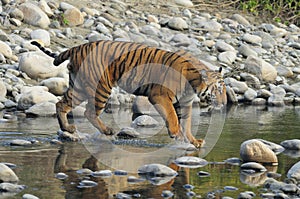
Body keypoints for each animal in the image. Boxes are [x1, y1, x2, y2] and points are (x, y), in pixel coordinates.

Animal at [31, 40, 227, 148]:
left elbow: (187, 123)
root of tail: (78, 47)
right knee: (89, 112)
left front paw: (193, 141)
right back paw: (107, 130)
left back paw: (67, 128)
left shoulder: (185, 103)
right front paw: (176, 134)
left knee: (61, 104)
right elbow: (172, 116)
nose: (225, 103)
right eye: (218, 89)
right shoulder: (160, 95)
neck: (193, 84)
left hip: (78, 87)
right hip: (101, 86)